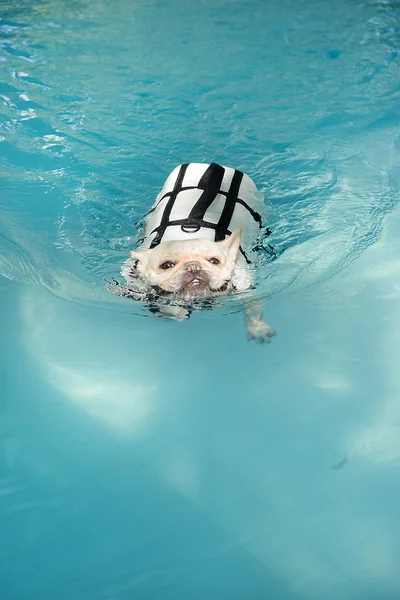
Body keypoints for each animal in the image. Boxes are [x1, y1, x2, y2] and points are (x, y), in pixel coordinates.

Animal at [117, 162, 276, 344]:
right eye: (167, 265)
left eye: (214, 261)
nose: (193, 267)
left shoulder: (245, 284)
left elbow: (252, 306)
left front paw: (258, 328)